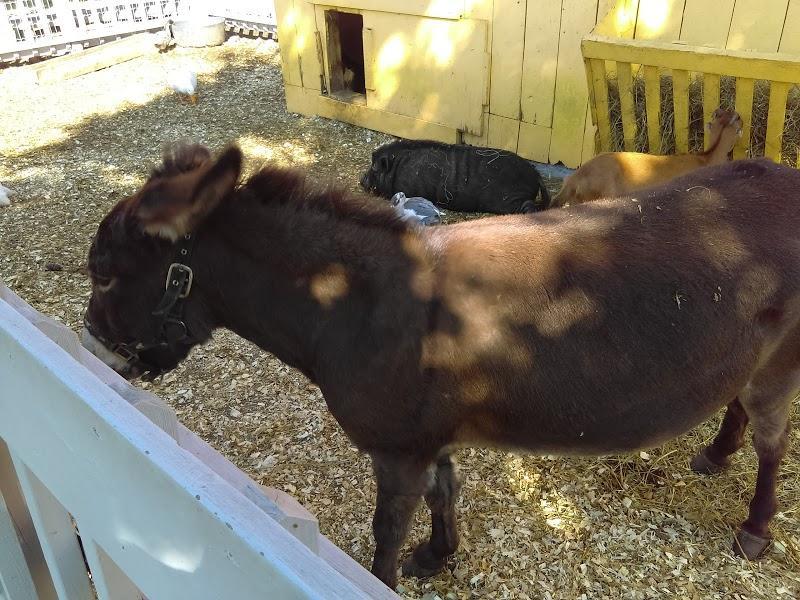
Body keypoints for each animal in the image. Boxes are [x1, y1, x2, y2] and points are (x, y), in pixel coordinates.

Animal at [82, 143, 797, 589]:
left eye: (106, 274)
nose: (92, 345)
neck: (353, 305)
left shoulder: (397, 449)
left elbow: (388, 529)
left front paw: (386, 577)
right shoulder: (432, 435)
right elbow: (443, 492)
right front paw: (438, 554)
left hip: (782, 361)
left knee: (773, 443)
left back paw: (755, 530)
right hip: (744, 355)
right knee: (737, 404)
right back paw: (715, 455)